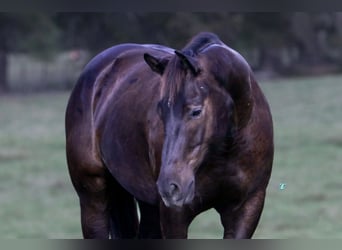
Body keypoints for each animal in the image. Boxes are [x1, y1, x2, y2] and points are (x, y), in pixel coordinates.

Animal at [65, 31, 274, 238]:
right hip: (94, 200)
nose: (170, 187)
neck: (226, 150)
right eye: (161, 111)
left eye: (196, 111)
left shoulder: (247, 208)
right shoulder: (174, 215)